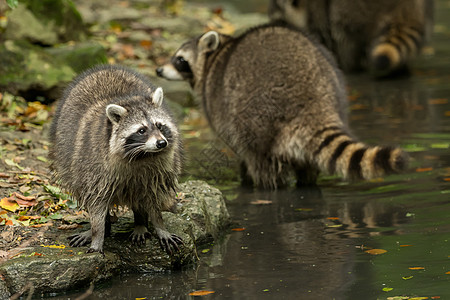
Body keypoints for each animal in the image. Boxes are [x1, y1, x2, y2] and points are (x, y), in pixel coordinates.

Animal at [49, 65, 183, 253]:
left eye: (159, 125)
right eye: (142, 130)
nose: (161, 143)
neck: (142, 155)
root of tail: (107, 68)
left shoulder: (160, 169)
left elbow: (154, 196)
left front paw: (159, 225)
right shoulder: (93, 165)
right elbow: (96, 201)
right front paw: (97, 234)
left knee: (140, 193)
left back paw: (140, 223)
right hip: (69, 158)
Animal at [156, 24, 410, 190]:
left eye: (179, 60)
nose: (158, 70)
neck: (218, 53)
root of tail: (315, 101)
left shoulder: (216, 97)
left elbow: (237, 147)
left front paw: (244, 175)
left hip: (255, 116)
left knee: (258, 157)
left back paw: (262, 185)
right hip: (334, 82)